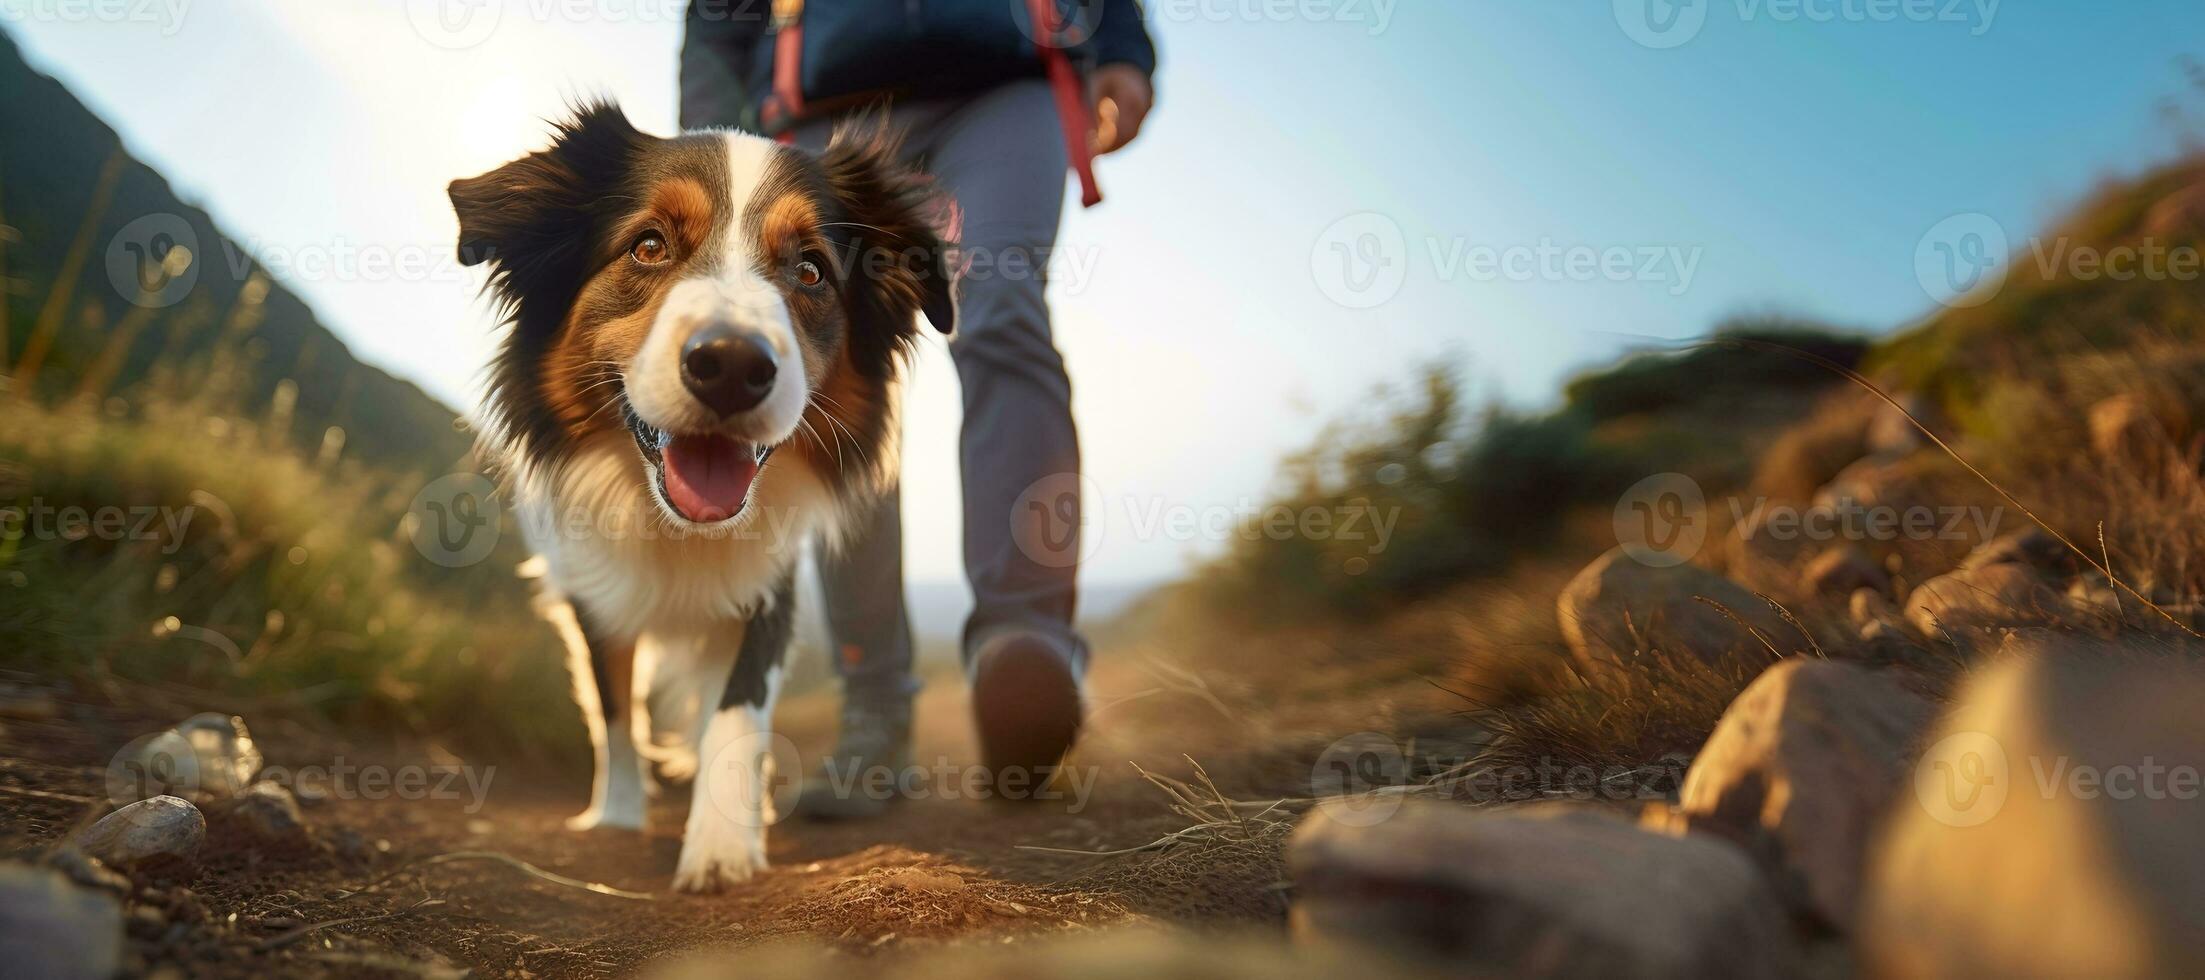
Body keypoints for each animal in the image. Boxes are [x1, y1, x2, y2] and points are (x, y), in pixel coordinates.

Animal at [452, 103, 952, 891]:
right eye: (648, 246)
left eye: (810, 269)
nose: (733, 365)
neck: (676, 525)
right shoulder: (584, 584)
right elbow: (613, 708)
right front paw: (618, 815)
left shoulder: (771, 580)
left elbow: (736, 705)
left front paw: (720, 845)